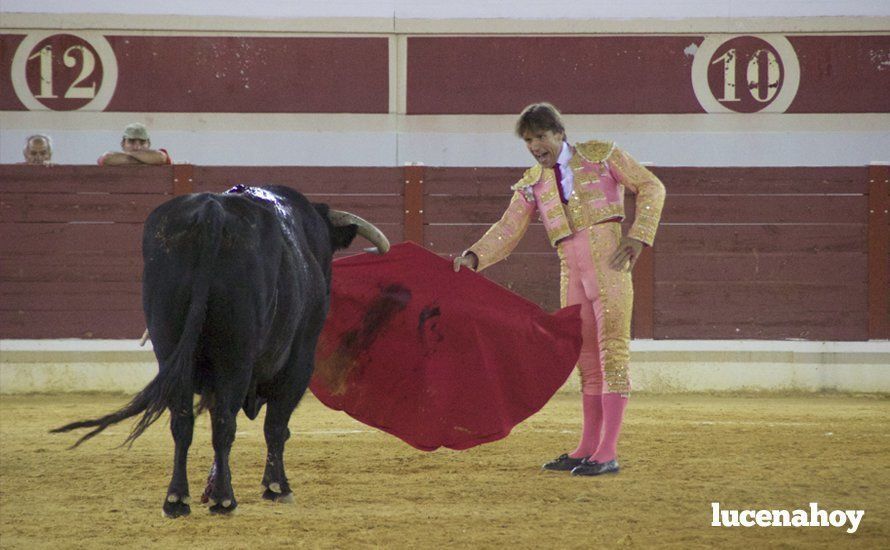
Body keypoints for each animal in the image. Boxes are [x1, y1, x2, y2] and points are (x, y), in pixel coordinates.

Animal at [52, 188, 388, 520]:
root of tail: (211, 212)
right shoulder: (299, 363)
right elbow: (275, 426)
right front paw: (277, 487)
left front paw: (211, 488)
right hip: (235, 355)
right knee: (226, 423)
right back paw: (224, 500)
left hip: (170, 346)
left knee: (183, 422)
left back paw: (177, 499)